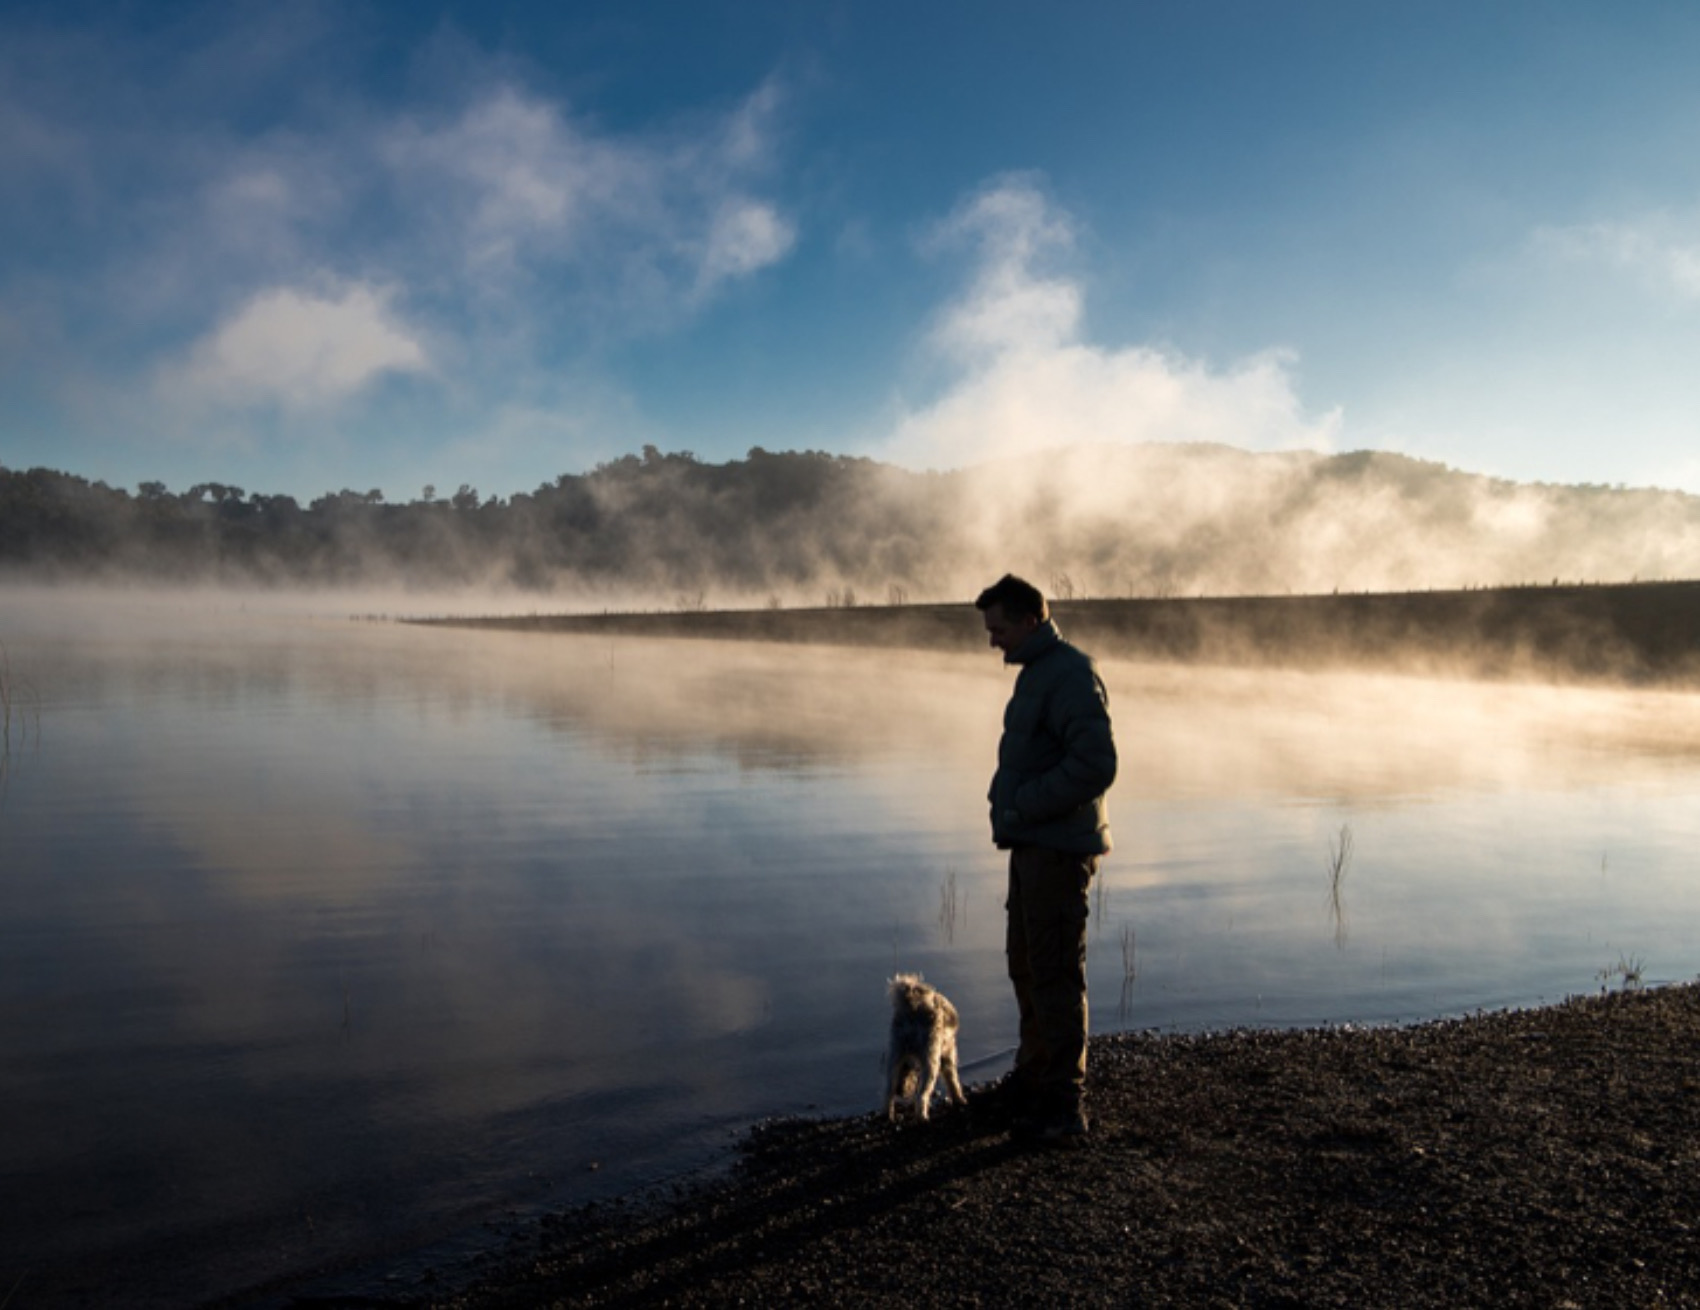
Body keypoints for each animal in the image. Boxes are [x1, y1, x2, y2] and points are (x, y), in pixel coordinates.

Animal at [884, 965, 965, 1121]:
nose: (900, 1092)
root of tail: (912, 1009)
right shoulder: (948, 1053)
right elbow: (952, 1078)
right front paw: (959, 1099)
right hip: (931, 1060)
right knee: (921, 1096)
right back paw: (923, 1117)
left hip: (895, 1054)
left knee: (888, 1092)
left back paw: (889, 1115)